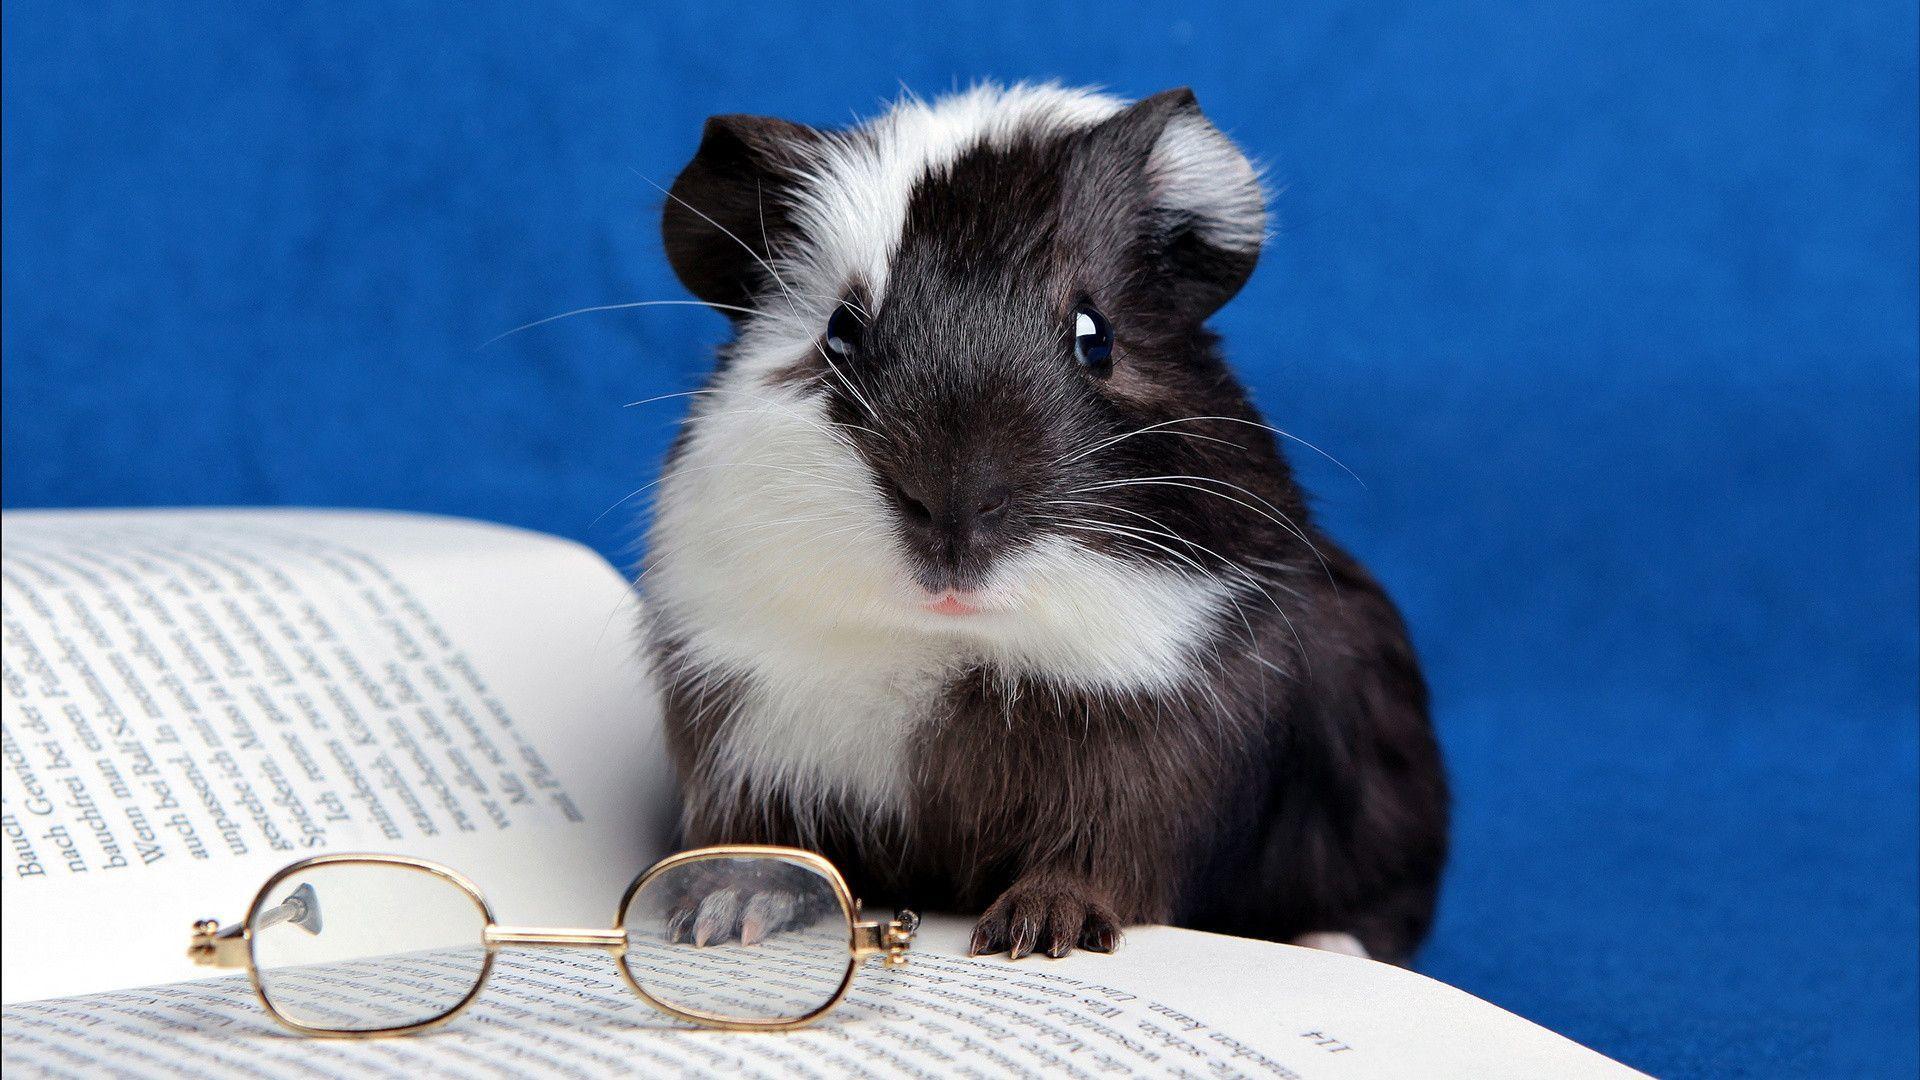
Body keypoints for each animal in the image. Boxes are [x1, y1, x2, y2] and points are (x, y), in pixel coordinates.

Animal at [642, 84, 1447, 962]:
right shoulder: (736, 720)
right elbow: (760, 843)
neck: (947, 645)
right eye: (840, 332)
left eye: (1095, 336)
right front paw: (719, 919)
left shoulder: (1167, 746)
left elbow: (1098, 856)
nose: (955, 509)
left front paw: (1031, 936)